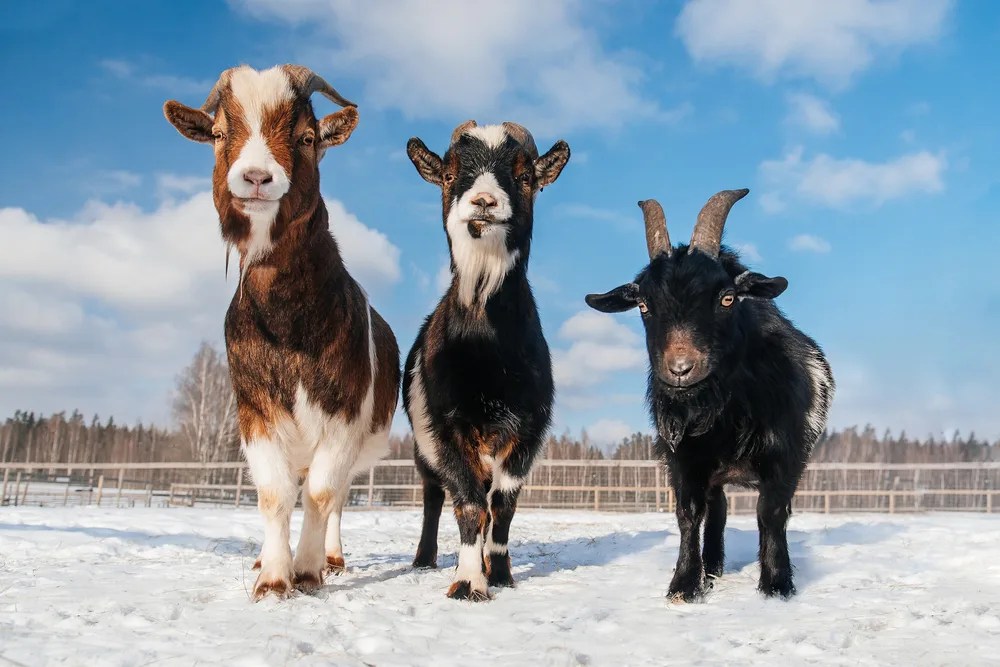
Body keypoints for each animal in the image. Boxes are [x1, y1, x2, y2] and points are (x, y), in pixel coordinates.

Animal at [163, 65, 400, 600]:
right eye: (218, 133)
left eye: (307, 137)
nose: (255, 177)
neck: (286, 323)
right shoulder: (254, 409)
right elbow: (273, 494)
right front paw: (273, 576)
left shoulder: (343, 412)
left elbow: (322, 494)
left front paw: (309, 571)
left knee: (335, 495)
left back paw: (332, 557)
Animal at [403, 120, 570, 600]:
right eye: (447, 175)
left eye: (526, 177)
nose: (483, 202)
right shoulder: (447, 426)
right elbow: (468, 502)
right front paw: (467, 582)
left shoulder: (528, 428)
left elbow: (503, 504)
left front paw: (498, 573)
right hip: (423, 446)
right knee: (434, 494)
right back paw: (424, 559)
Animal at [585, 190, 833, 600]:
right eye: (644, 305)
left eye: (728, 298)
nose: (680, 368)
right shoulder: (683, 457)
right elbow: (689, 513)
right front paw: (685, 585)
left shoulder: (785, 454)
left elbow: (771, 513)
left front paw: (777, 585)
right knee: (718, 509)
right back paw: (713, 567)